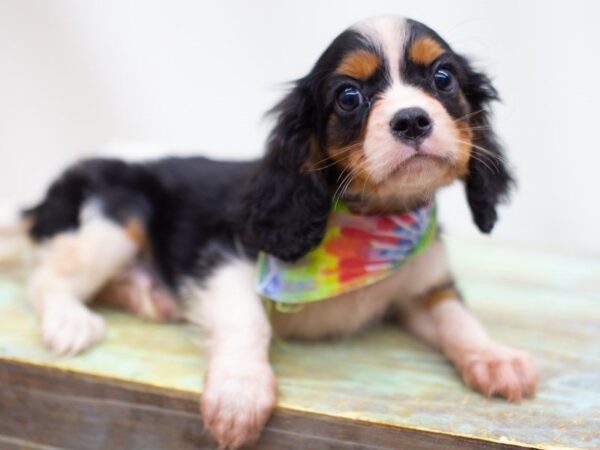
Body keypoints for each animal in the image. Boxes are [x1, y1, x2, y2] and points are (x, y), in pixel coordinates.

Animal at [22, 14, 540, 450]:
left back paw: (148, 295)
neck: (374, 222)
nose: (412, 119)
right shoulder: (224, 257)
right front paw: (240, 391)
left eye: (443, 78)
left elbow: (458, 317)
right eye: (349, 97)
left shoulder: (423, 287)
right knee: (44, 278)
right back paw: (71, 321)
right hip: (114, 219)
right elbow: (248, 319)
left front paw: (495, 358)